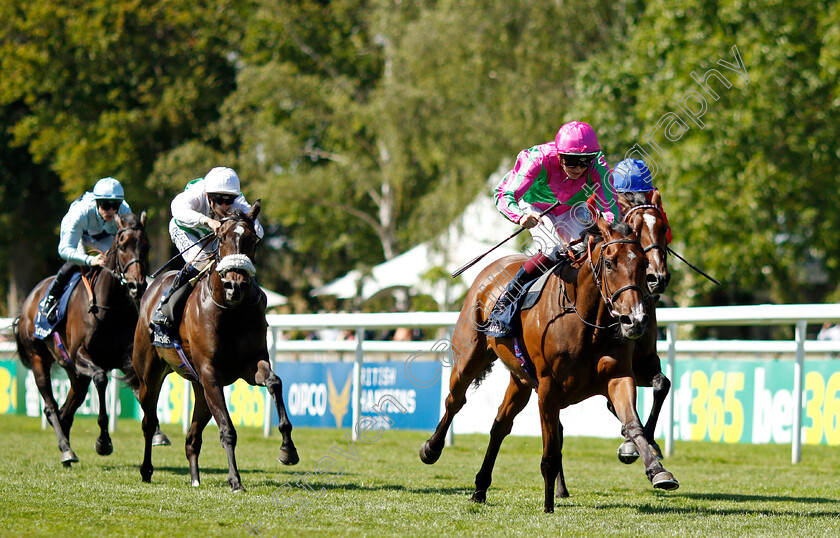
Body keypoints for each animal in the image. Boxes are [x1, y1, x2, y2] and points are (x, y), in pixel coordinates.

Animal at [14, 211, 170, 462]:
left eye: (146, 246)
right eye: (122, 245)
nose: (136, 286)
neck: (110, 306)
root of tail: (28, 301)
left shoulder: (124, 356)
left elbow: (140, 385)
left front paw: (156, 432)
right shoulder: (81, 355)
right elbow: (101, 379)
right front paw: (103, 441)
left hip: (75, 374)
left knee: (67, 409)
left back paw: (66, 445)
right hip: (39, 358)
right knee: (51, 406)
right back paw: (66, 449)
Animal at [131, 200, 298, 490]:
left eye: (252, 239)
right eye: (221, 238)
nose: (234, 285)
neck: (232, 312)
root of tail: (151, 288)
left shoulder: (250, 364)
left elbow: (274, 382)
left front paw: (288, 450)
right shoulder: (211, 373)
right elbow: (227, 430)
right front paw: (235, 480)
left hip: (200, 389)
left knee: (192, 437)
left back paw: (196, 479)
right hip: (150, 375)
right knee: (149, 422)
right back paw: (147, 469)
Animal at [418, 211, 676, 508]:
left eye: (642, 263)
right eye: (610, 263)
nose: (635, 319)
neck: (586, 320)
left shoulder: (620, 376)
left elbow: (634, 422)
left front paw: (656, 469)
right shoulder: (548, 387)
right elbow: (550, 452)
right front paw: (548, 506)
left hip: (519, 379)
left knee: (500, 425)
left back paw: (480, 487)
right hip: (469, 358)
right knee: (455, 400)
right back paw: (431, 449)